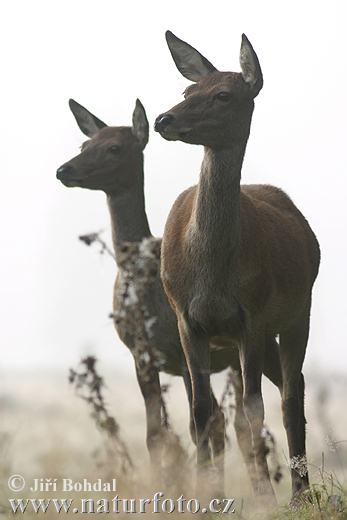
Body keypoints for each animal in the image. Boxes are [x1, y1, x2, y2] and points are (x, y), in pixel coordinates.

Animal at [156, 30, 322, 502]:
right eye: (188, 91)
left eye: (223, 95)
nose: (163, 119)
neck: (213, 275)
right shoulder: (186, 319)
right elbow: (200, 414)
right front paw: (202, 497)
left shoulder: (253, 314)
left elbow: (251, 413)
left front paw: (264, 497)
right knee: (286, 388)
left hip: (298, 312)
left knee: (291, 394)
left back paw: (300, 493)